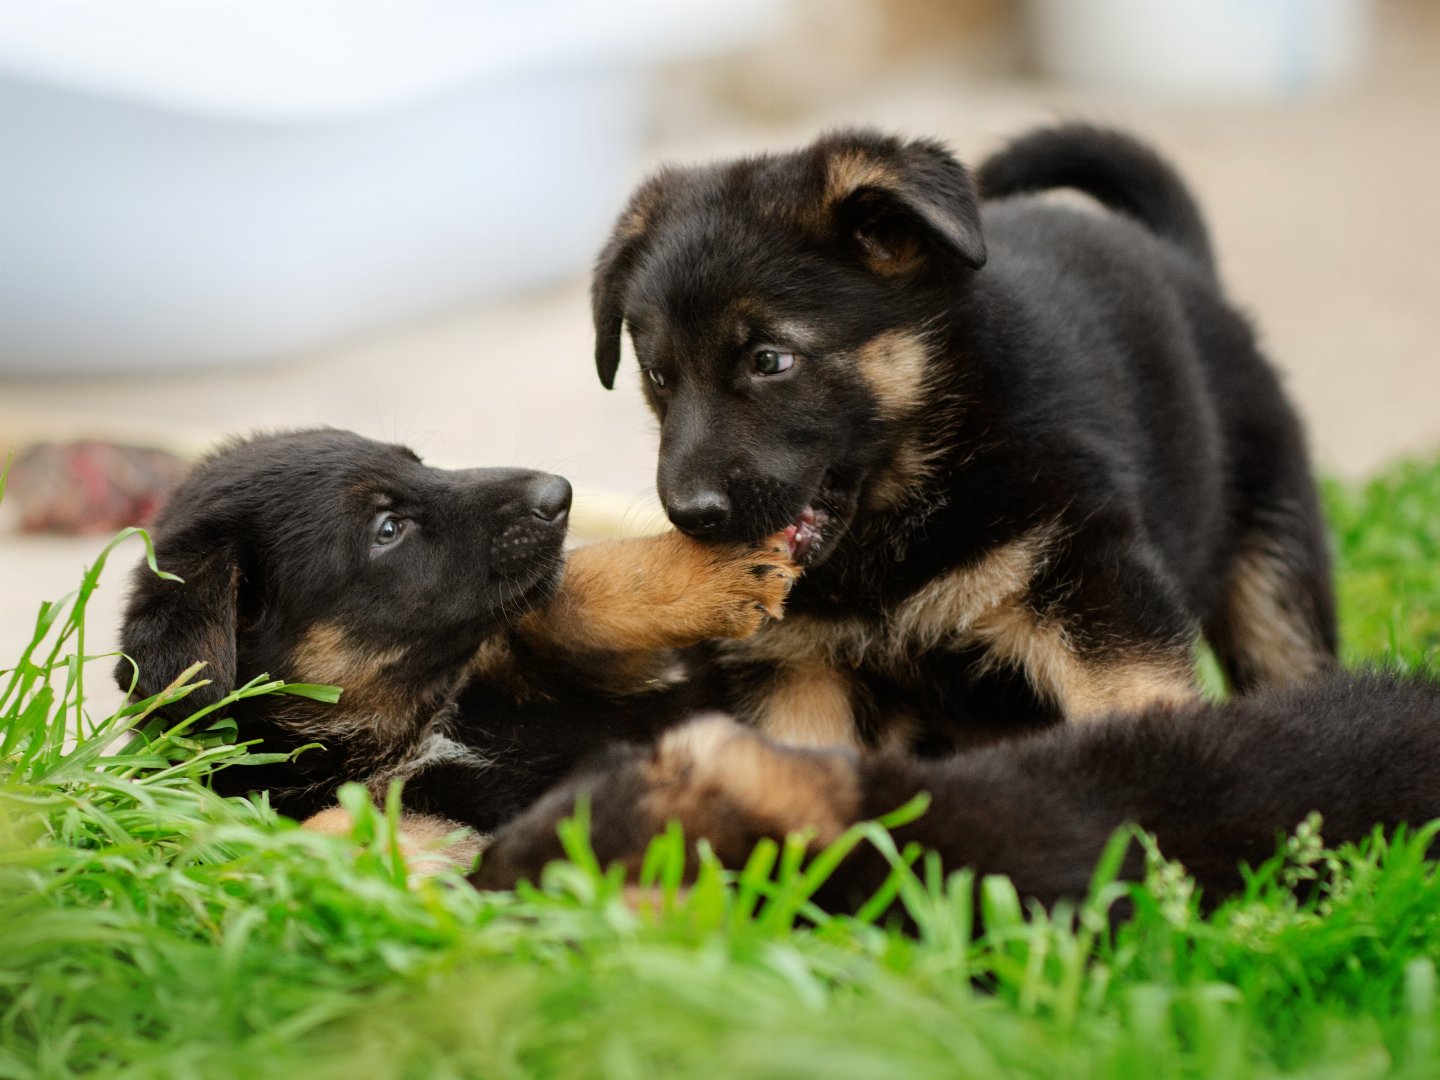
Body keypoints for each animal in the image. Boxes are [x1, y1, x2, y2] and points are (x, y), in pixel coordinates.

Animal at [118, 426, 800, 835]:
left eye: (418, 463)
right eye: (387, 528)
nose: (559, 493)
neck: (418, 719)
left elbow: (569, 597)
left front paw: (722, 572)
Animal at [590, 124, 1330, 754]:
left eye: (770, 360)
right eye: (658, 376)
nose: (692, 517)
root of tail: (1181, 259)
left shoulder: (1089, 582)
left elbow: (1134, 702)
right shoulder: (794, 666)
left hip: (1274, 574)